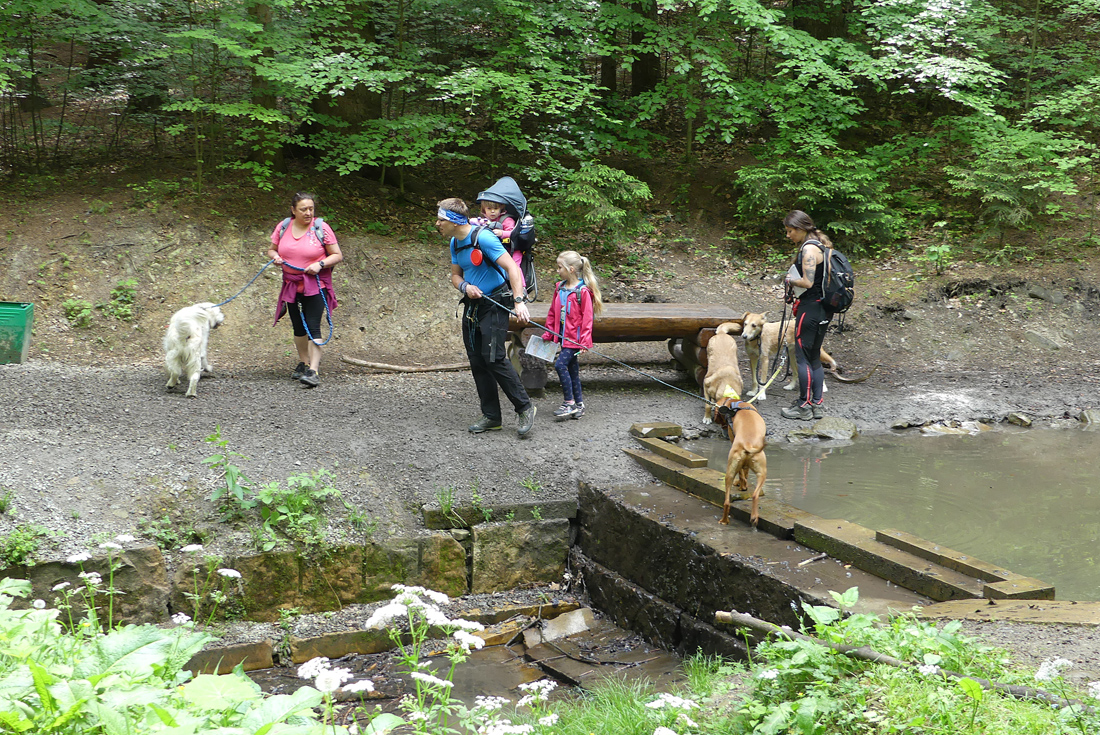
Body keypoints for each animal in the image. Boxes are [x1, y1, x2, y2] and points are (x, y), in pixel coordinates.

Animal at [715, 395, 768, 526]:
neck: (734, 403)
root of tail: (747, 444)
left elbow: (743, 473)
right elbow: (744, 473)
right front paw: (741, 484)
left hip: (733, 472)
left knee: (727, 501)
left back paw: (725, 521)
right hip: (760, 472)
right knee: (753, 494)